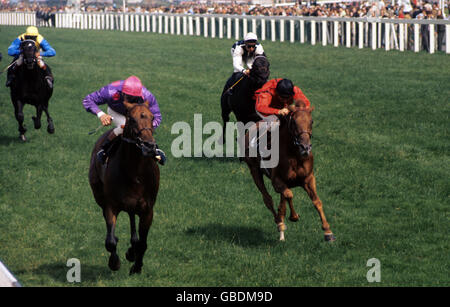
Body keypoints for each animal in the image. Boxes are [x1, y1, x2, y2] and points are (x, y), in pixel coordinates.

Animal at [88, 101, 160, 276]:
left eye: (152, 117)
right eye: (132, 119)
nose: (149, 145)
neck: (135, 171)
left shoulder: (147, 209)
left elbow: (143, 243)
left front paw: (137, 266)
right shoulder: (111, 205)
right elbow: (110, 241)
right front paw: (114, 262)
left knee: (133, 224)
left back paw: (132, 251)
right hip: (100, 196)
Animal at [243, 101, 334, 243]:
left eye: (312, 121)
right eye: (294, 122)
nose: (305, 147)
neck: (294, 155)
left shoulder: (308, 178)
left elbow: (317, 201)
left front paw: (328, 231)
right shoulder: (276, 181)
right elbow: (289, 195)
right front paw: (294, 216)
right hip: (254, 171)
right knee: (268, 199)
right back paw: (280, 223)